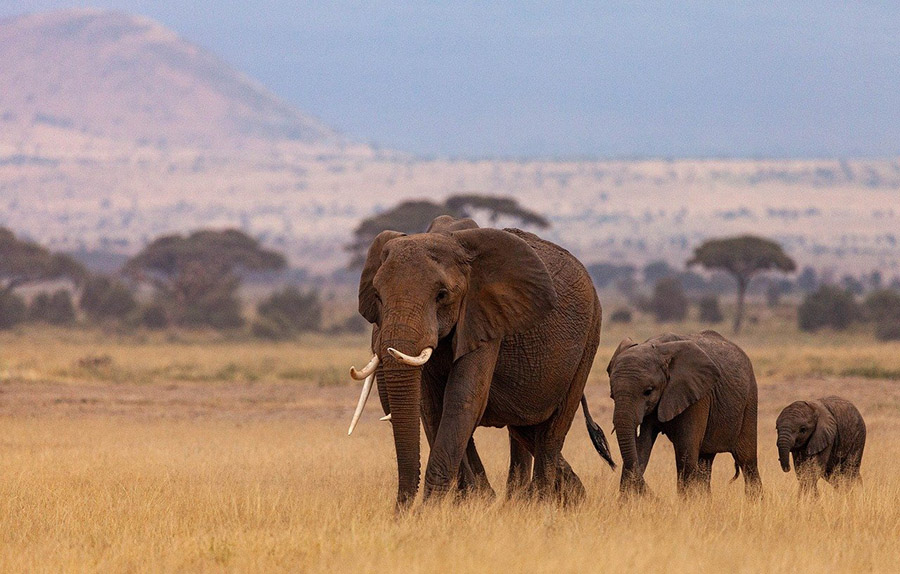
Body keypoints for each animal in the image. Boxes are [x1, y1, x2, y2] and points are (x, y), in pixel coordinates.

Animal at [347, 215, 614, 509]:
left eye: (442, 295)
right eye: (378, 296)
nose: (400, 512)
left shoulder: (485, 317)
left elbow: (463, 399)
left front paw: (432, 510)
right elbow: (432, 406)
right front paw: (470, 503)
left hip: (590, 336)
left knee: (552, 432)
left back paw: (540, 503)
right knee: (525, 428)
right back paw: (560, 497)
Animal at [606, 330, 761, 497]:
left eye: (648, 391)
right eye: (612, 395)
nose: (656, 497)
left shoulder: (697, 395)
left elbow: (685, 451)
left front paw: (687, 502)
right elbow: (641, 447)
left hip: (750, 400)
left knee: (747, 460)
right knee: (705, 461)